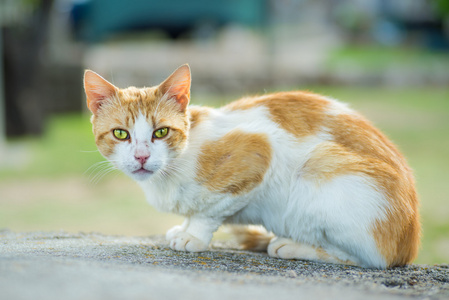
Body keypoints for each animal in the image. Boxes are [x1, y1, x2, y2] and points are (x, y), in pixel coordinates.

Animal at [83, 64, 420, 268]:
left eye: (161, 132)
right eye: (121, 134)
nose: (141, 156)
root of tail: (410, 243)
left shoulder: (259, 151)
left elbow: (208, 212)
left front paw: (193, 236)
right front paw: (184, 227)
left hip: (320, 168)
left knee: (367, 259)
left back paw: (291, 246)